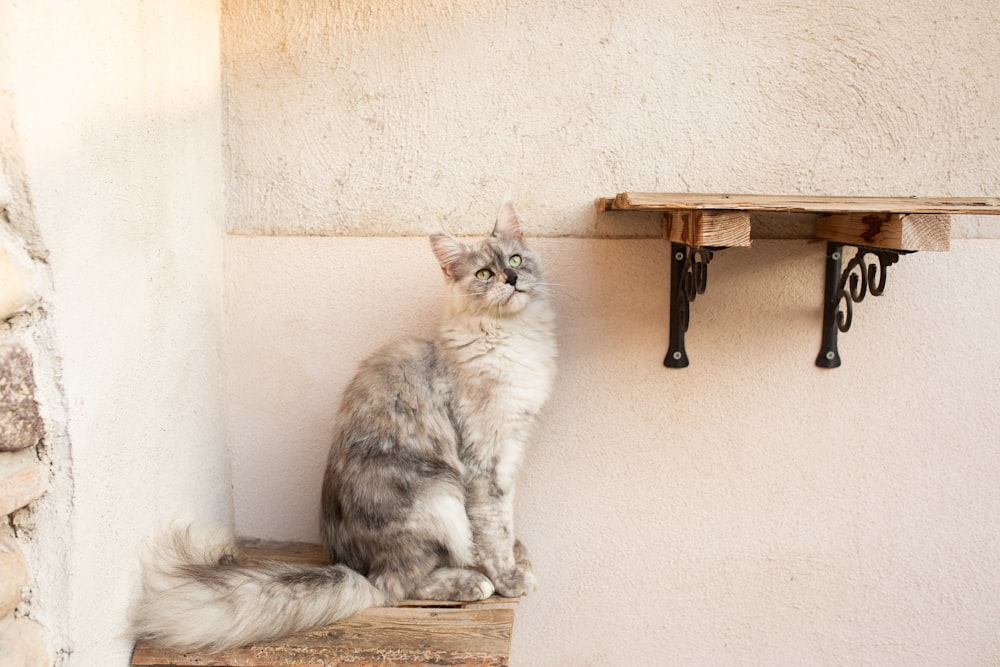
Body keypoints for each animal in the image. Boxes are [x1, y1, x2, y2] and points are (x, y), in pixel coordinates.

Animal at [129, 202, 560, 652]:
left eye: (515, 260)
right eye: (484, 275)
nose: (512, 279)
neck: (509, 338)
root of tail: (353, 566)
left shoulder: (510, 448)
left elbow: (503, 521)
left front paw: (515, 553)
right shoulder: (484, 460)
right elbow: (493, 529)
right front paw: (509, 578)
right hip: (437, 496)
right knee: (396, 587)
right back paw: (471, 582)